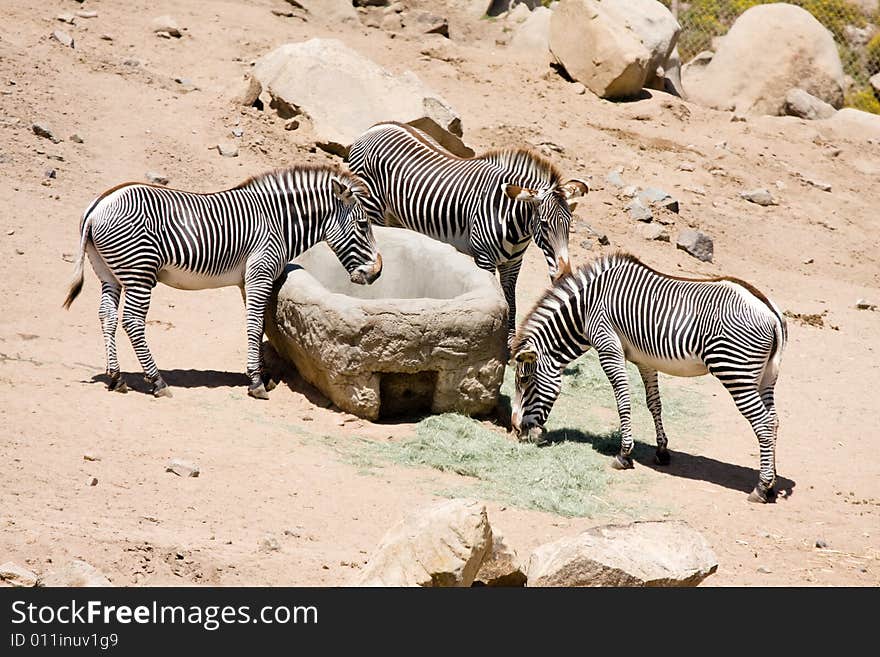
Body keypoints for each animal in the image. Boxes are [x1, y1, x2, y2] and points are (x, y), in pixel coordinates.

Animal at [65, 164, 382, 400]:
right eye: (363, 224)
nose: (378, 272)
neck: (278, 221)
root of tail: (99, 204)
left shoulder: (248, 280)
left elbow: (260, 324)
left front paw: (262, 374)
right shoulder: (260, 275)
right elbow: (254, 324)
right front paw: (256, 382)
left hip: (109, 273)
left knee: (107, 316)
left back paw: (116, 378)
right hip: (140, 272)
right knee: (131, 321)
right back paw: (157, 381)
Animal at [348, 121, 588, 344]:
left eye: (569, 224)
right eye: (545, 225)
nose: (564, 275)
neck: (514, 223)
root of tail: (375, 127)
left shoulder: (513, 263)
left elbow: (511, 301)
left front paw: (510, 343)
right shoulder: (484, 259)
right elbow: (499, 300)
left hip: (396, 214)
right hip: (372, 205)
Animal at [512, 251, 788, 502]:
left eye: (524, 381)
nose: (517, 431)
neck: (585, 309)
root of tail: (769, 310)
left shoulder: (608, 347)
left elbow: (622, 399)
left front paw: (624, 454)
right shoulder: (645, 360)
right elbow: (653, 403)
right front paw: (662, 451)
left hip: (735, 372)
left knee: (763, 424)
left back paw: (761, 488)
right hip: (766, 377)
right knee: (774, 421)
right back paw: (772, 482)